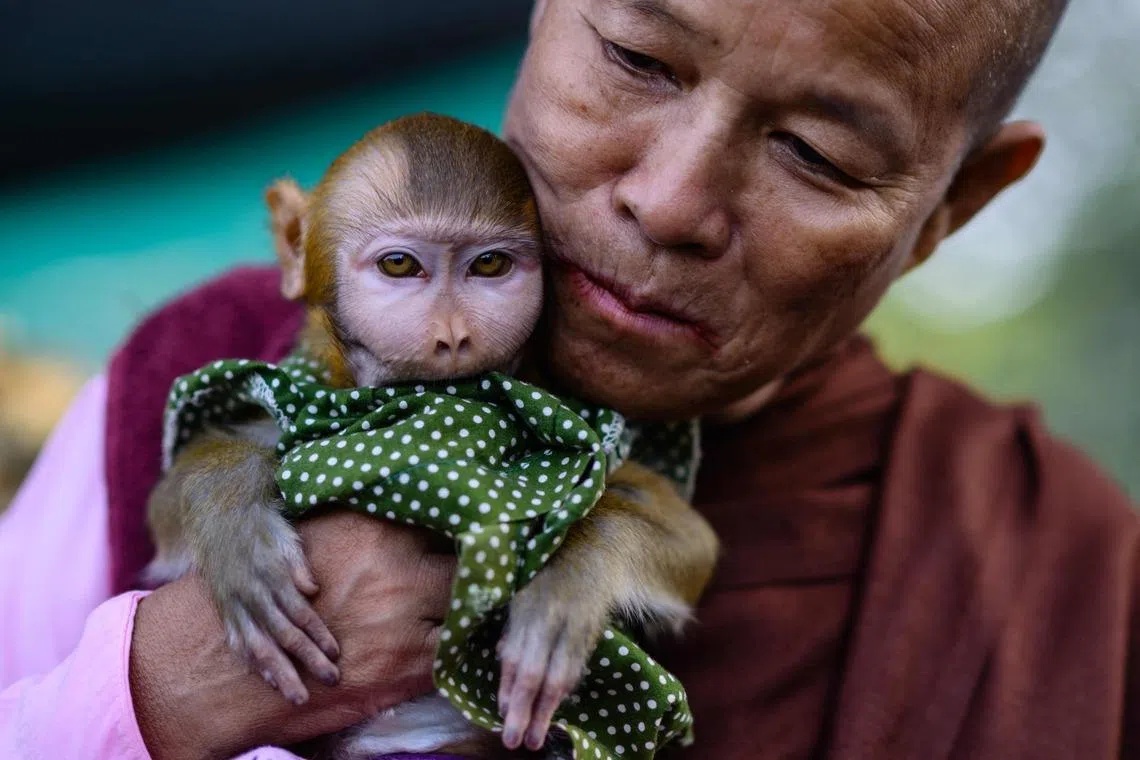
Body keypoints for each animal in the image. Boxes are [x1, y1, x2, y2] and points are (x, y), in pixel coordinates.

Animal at [145, 113, 719, 759]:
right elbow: (165, 505)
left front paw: (568, 581)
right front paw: (235, 527)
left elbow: (691, 541)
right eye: (400, 266)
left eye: (489, 266)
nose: (452, 334)